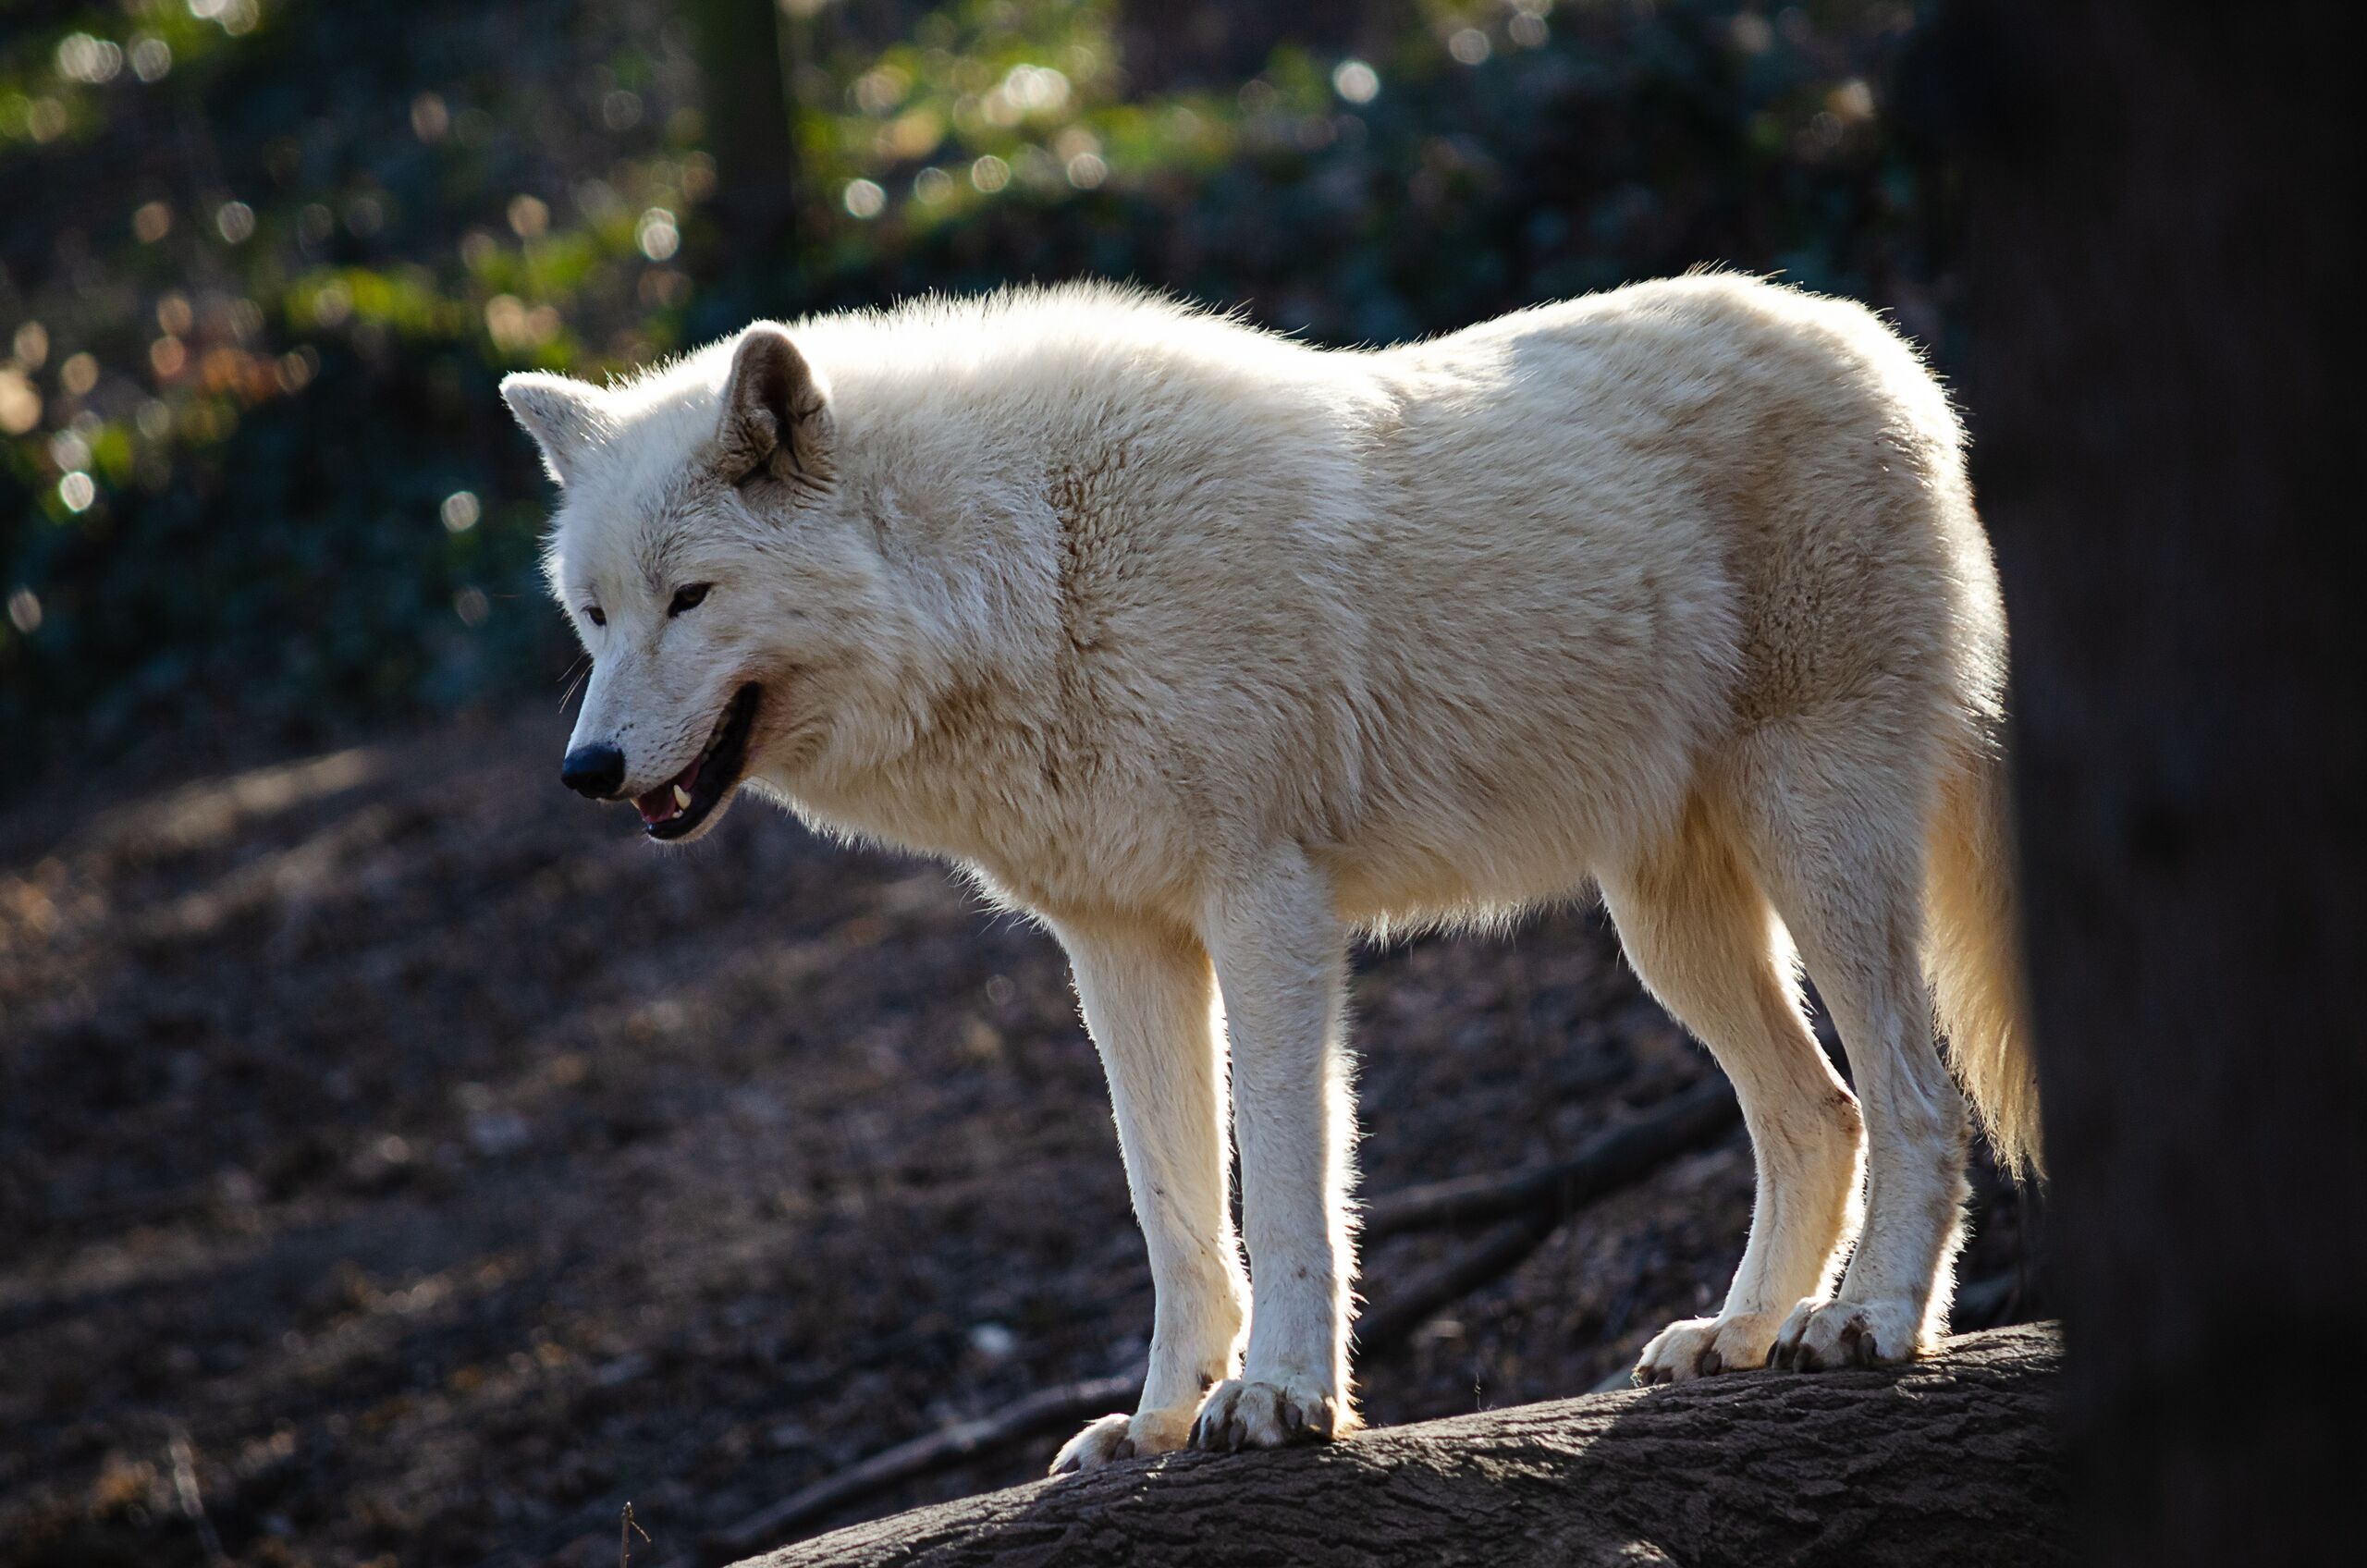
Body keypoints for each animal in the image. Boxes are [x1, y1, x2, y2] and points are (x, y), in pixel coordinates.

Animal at [500, 274, 2036, 1473]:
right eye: (594, 613)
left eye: (691, 597)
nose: (585, 770)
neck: (1036, 570)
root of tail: (1890, 351)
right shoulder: (1118, 948)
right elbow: (1173, 1210)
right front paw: (1159, 1425)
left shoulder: (1270, 911)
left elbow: (1287, 1186)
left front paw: (1285, 1400)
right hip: (1667, 927)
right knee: (1820, 1113)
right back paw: (1741, 1334)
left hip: (1814, 838)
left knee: (1917, 1095)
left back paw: (1870, 1323)